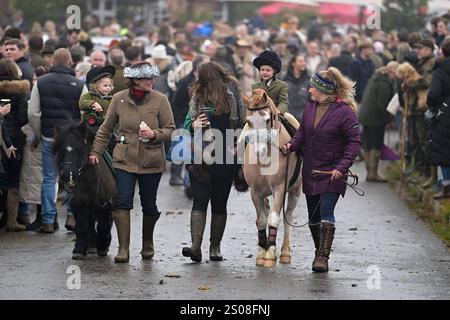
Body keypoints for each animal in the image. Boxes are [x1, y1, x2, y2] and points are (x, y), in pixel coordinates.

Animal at [53, 122, 116, 260]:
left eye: (78, 149)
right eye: (61, 149)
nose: (68, 175)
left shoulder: (105, 205)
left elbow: (104, 225)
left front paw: (103, 246)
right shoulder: (79, 204)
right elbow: (82, 225)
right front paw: (79, 249)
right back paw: (91, 245)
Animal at [241, 89, 300, 266]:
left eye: (268, 119)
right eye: (248, 121)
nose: (258, 151)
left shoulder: (279, 189)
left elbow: (274, 219)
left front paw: (270, 255)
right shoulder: (255, 192)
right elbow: (261, 220)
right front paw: (262, 253)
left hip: (295, 191)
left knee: (288, 215)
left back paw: (285, 252)